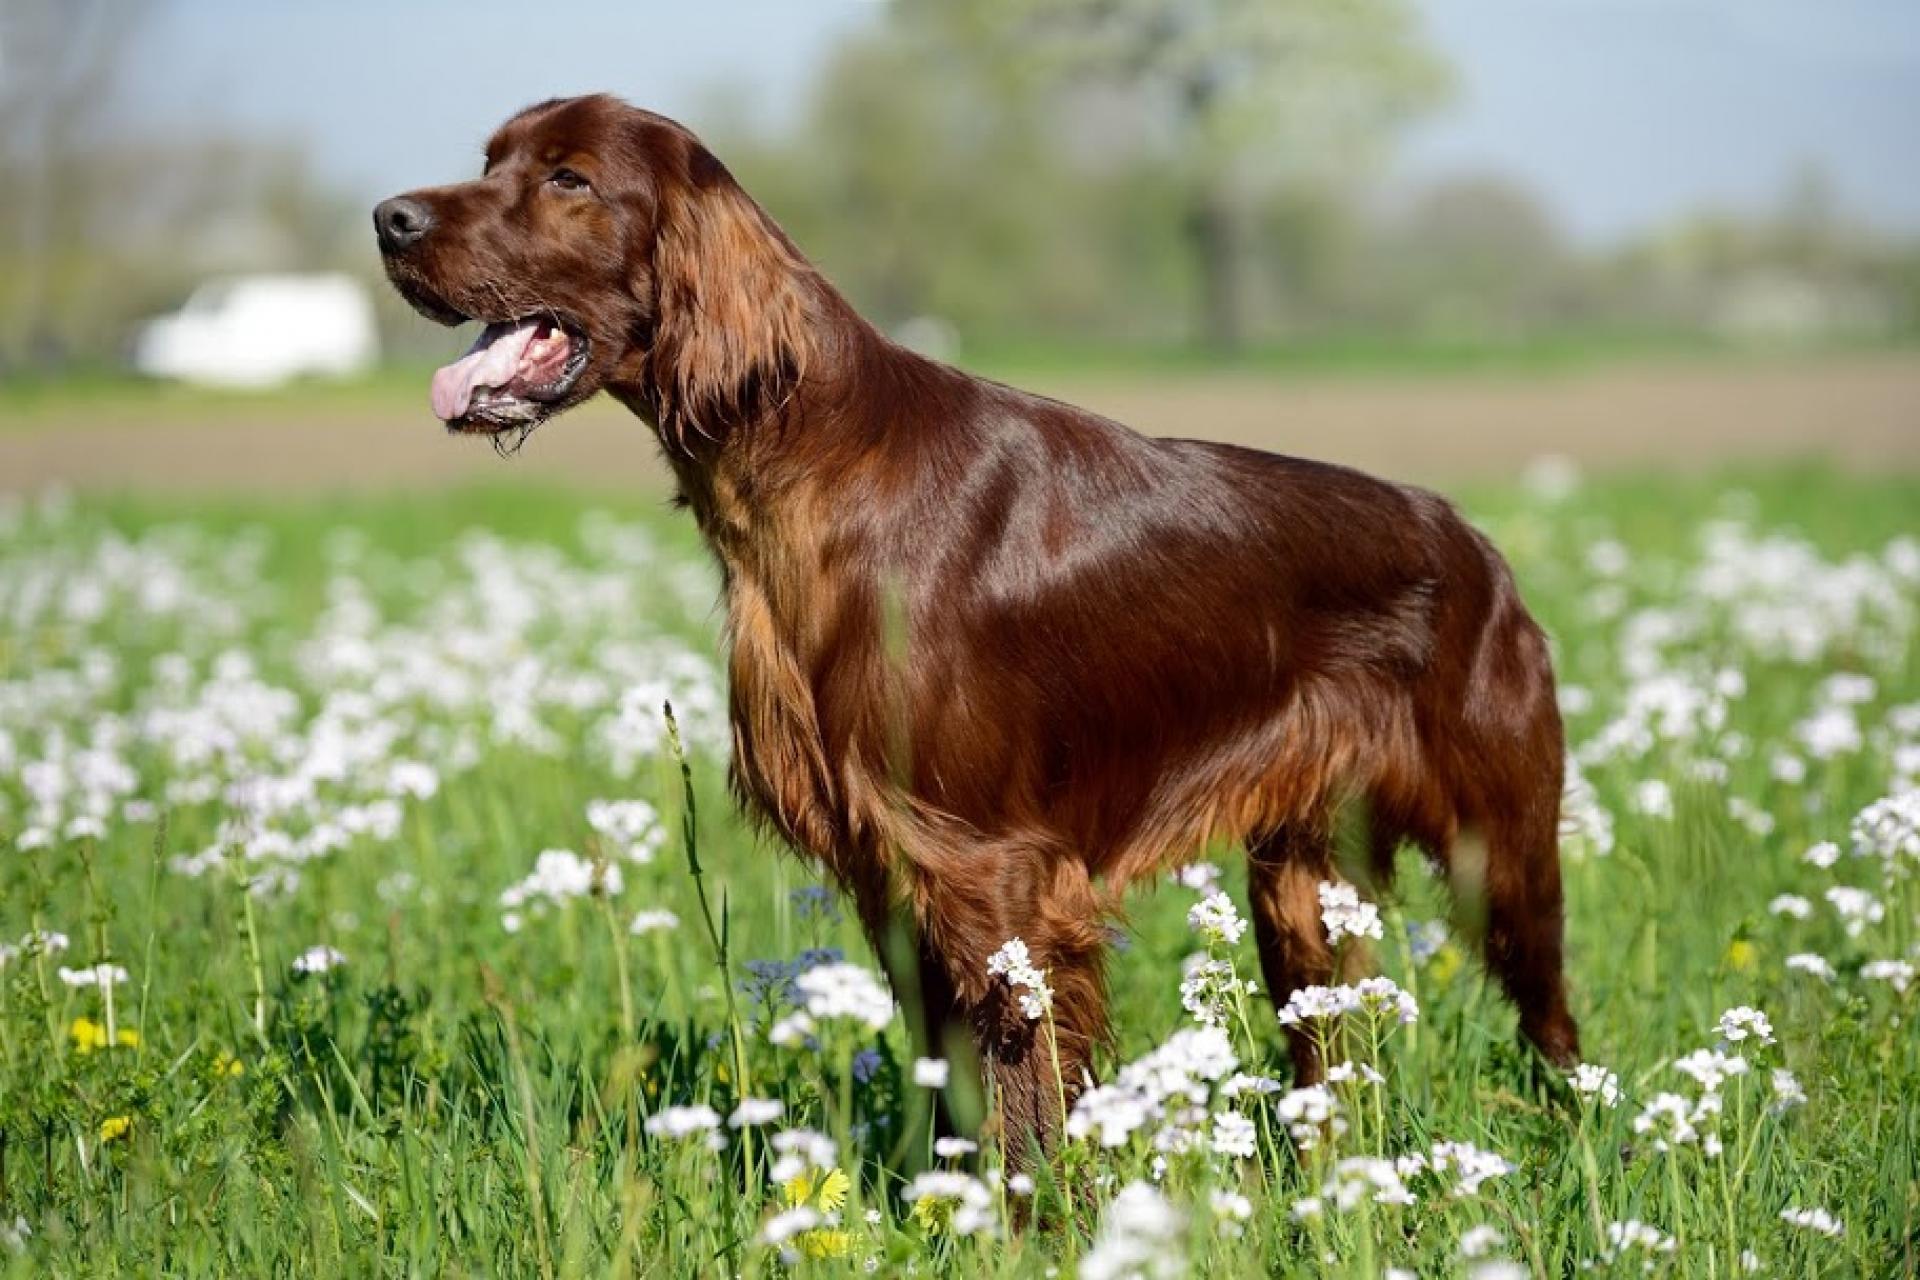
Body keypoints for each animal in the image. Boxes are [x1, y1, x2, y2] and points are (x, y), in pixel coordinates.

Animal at [370, 97, 1574, 1159]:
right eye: (491, 161)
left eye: (569, 180)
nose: (389, 219)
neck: (810, 467)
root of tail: (1473, 539)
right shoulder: (890, 869)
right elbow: (949, 1078)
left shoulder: (994, 870)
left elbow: (1024, 1098)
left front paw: (1039, 1227)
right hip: (1297, 887)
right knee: (1327, 1039)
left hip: (1501, 842)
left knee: (1552, 1013)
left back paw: (1575, 1144)